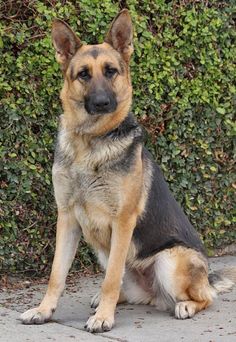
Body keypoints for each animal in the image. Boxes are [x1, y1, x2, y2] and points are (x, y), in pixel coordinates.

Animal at [19, 10, 234, 332]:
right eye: (83, 74)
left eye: (111, 71)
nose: (102, 103)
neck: (90, 142)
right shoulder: (67, 218)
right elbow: (57, 274)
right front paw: (44, 311)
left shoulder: (122, 221)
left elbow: (110, 279)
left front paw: (103, 319)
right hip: (102, 250)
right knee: (121, 284)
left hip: (170, 261)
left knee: (203, 296)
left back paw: (183, 304)